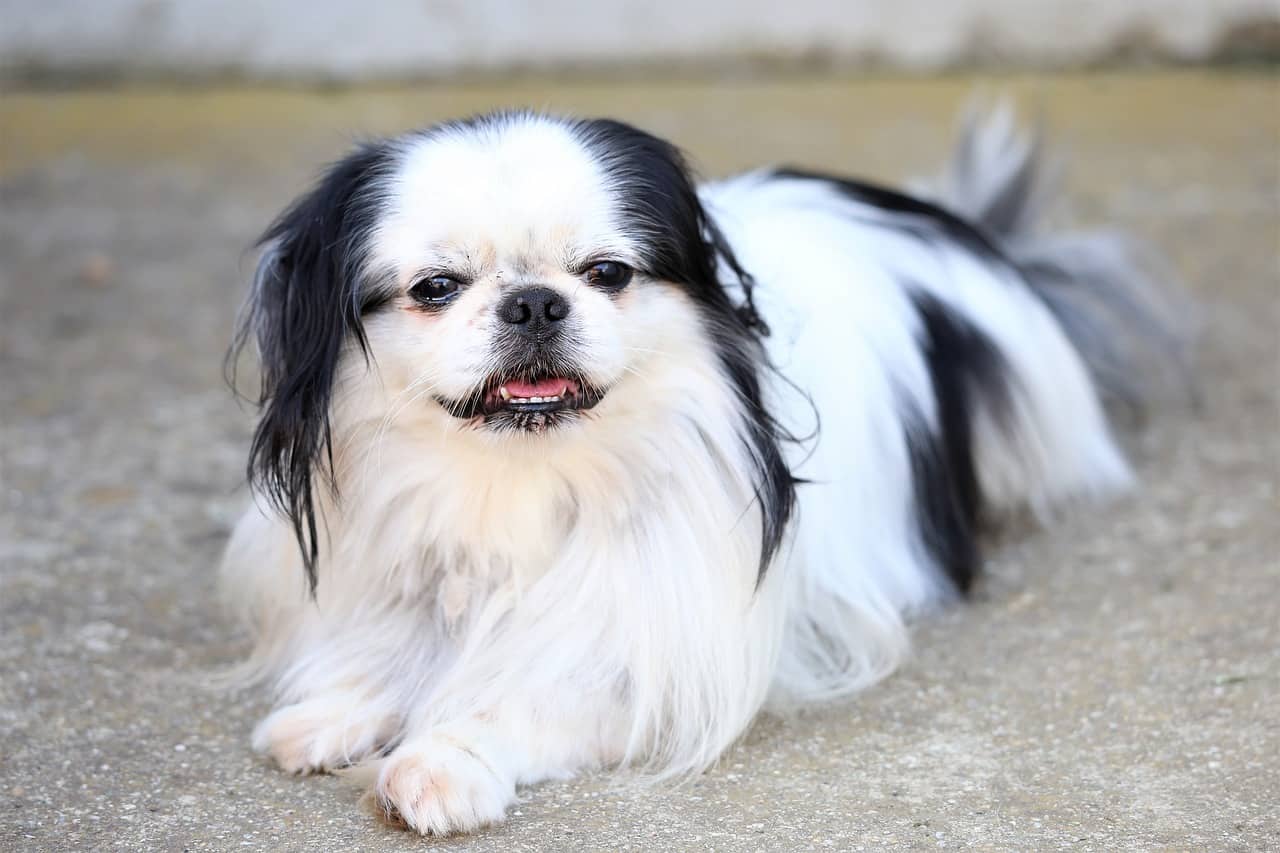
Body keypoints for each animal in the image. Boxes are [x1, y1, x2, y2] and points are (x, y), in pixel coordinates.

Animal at [220, 101, 1177, 829]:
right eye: (436, 288)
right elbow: (402, 640)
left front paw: (444, 758)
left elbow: (533, 689)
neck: (521, 483)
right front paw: (337, 708)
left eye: (607, 272)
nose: (534, 301)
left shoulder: (664, 654)